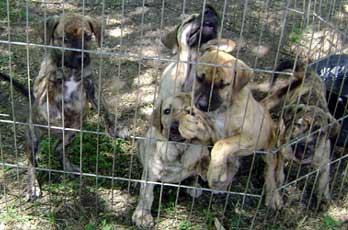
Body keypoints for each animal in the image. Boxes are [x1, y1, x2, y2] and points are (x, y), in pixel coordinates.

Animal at [133, 92, 211, 227]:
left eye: (189, 112)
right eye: (167, 111)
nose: (174, 127)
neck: (177, 150)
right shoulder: (151, 173)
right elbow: (146, 194)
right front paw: (142, 215)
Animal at [178, 49, 282, 210]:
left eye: (223, 85)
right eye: (199, 78)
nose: (201, 105)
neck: (222, 110)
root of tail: (263, 107)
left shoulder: (249, 137)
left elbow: (221, 144)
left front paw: (214, 171)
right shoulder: (210, 132)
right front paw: (186, 126)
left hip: (269, 148)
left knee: (270, 169)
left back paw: (273, 195)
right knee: (234, 165)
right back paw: (221, 182)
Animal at [260, 60, 340, 204]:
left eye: (320, 132)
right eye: (298, 125)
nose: (304, 145)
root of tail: (305, 67)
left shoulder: (324, 156)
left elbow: (325, 176)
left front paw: (324, 195)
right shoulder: (277, 146)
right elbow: (275, 166)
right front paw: (276, 185)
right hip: (277, 97)